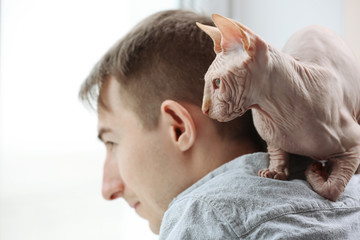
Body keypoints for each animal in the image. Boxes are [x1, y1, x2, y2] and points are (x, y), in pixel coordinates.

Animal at [197, 14, 360, 202]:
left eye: (217, 82)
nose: (204, 110)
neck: (277, 115)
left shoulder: (354, 145)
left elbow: (331, 189)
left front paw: (316, 172)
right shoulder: (271, 137)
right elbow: (277, 152)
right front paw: (275, 172)